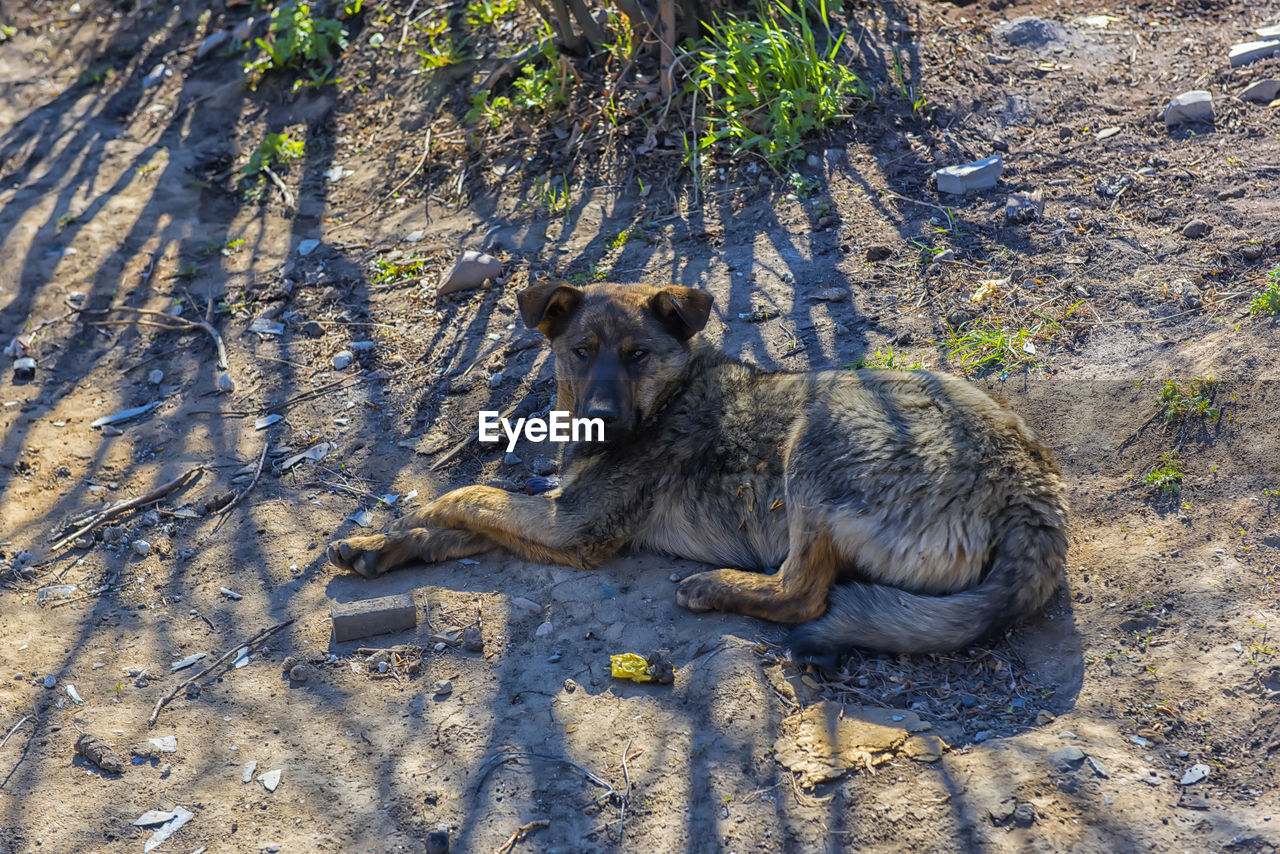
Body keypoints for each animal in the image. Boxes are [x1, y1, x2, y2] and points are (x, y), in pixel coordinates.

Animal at [325, 284, 1064, 660]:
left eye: (637, 354)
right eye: (582, 350)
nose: (599, 418)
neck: (666, 399)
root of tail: (1031, 490)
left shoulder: (572, 528)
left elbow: (466, 492)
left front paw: (413, 516)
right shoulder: (557, 513)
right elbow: (464, 517)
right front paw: (381, 542)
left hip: (820, 437)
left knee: (802, 593)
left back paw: (714, 587)